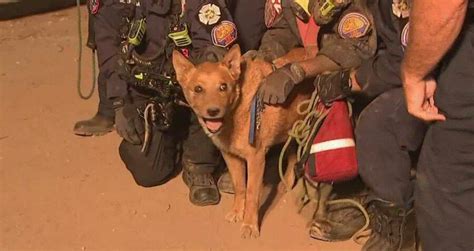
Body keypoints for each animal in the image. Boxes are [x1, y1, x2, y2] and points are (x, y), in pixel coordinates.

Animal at [173, 44, 314, 238]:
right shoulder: (231, 157)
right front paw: (237, 211)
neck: (237, 110)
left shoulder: (256, 159)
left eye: (223, 87)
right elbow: (240, 187)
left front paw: (250, 224)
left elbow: (252, 194)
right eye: (198, 89)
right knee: (292, 154)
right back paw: (287, 180)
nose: (213, 111)